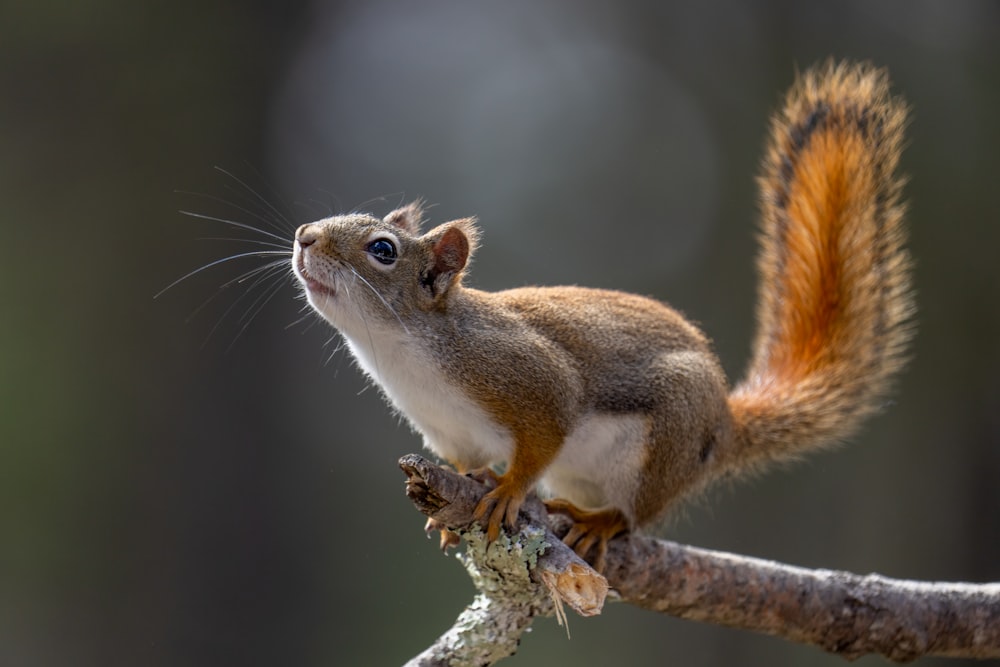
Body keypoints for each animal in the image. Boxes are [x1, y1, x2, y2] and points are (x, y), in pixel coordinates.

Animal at [290, 61, 916, 568]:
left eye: (383, 250)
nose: (304, 236)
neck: (403, 353)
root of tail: (723, 425)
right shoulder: (449, 435)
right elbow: (467, 465)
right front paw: (464, 499)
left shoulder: (525, 375)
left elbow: (546, 428)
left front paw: (510, 490)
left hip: (665, 441)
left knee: (636, 515)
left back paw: (601, 520)